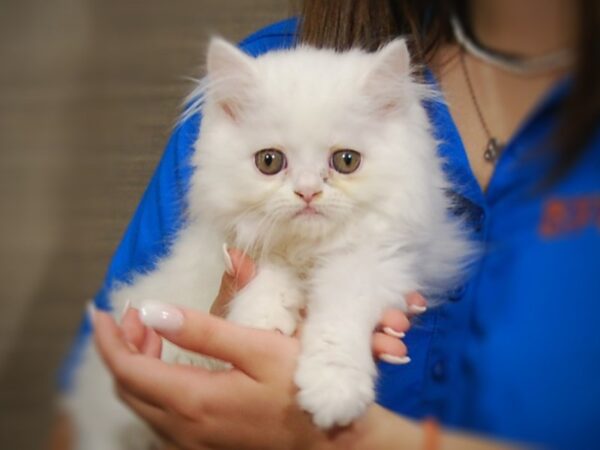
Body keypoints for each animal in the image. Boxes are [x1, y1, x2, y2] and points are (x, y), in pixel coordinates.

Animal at [65, 37, 472, 448]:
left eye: (346, 161)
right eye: (270, 162)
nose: (307, 192)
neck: (306, 251)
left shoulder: (376, 264)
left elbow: (338, 324)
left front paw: (332, 391)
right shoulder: (240, 246)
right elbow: (265, 275)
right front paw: (262, 323)